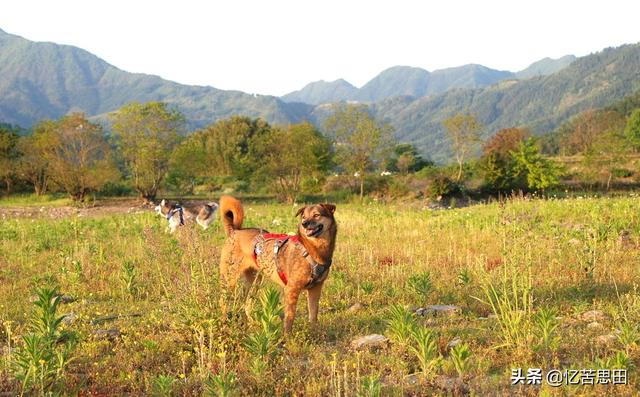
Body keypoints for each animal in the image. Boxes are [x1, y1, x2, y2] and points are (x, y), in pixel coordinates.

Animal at [220, 195, 338, 332]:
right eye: (303, 217)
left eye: (316, 215)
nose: (304, 224)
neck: (312, 248)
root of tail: (234, 231)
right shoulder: (291, 289)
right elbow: (290, 318)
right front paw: (287, 336)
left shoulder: (316, 289)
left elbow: (313, 315)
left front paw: (315, 332)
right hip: (229, 280)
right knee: (224, 302)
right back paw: (224, 322)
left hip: (254, 281)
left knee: (246, 303)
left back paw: (252, 324)